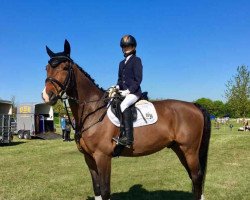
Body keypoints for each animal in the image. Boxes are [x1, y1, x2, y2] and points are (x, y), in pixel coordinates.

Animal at [42, 39, 210, 199]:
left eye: (65, 67)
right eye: (46, 68)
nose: (47, 96)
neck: (92, 111)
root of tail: (194, 105)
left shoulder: (102, 157)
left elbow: (105, 190)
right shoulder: (89, 158)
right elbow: (97, 189)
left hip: (189, 150)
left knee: (196, 177)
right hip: (179, 148)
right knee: (194, 178)